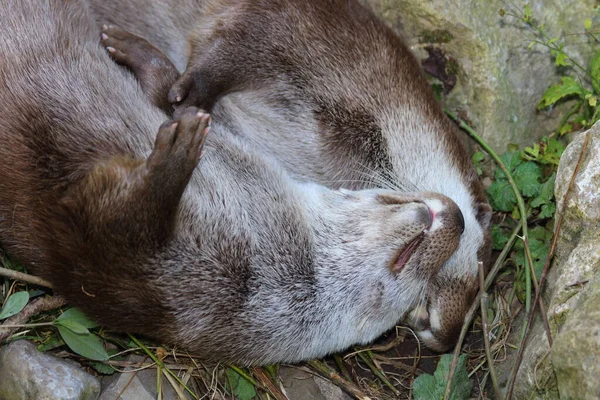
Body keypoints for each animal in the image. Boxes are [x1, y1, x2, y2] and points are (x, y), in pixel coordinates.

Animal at [0, 0, 464, 364]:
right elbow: (172, 95)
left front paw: (177, 153)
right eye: (390, 197)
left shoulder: (130, 276)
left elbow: (114, 223)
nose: (457, 218)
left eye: (417, 289)